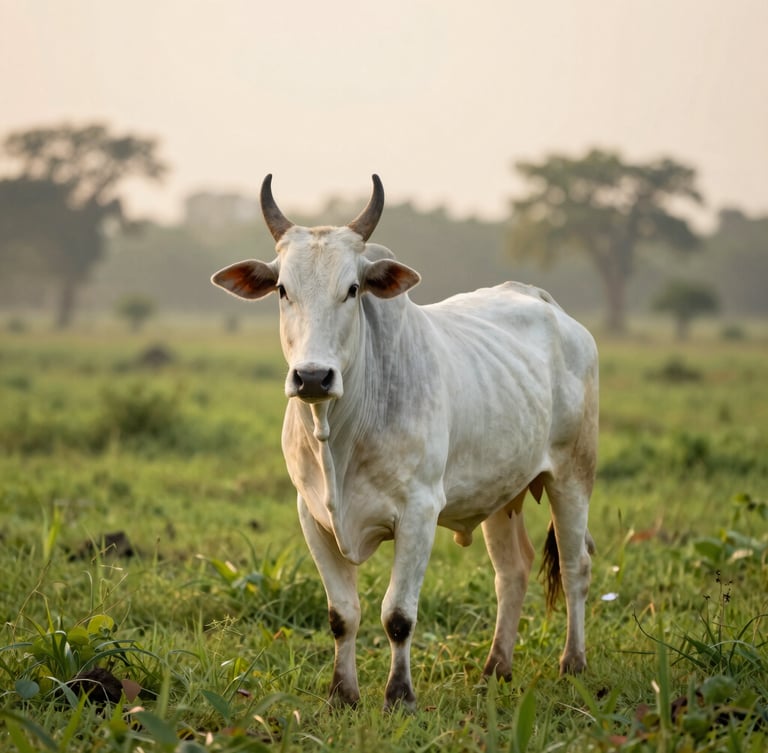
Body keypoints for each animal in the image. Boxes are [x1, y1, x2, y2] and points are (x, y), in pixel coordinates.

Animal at [211, 175, 598, 710]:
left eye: (353, 289)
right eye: (283, 290)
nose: (312, 376)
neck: (341, 435)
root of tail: (548, 304)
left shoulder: (419, 512)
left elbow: (397, 615)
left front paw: (399, 695)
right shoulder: (311, 515)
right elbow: (342, 614)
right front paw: (342, 694)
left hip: (573, 476)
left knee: (577, 566)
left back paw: (573, 664)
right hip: (502, 493)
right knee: (512, 573)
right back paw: (495, 669)